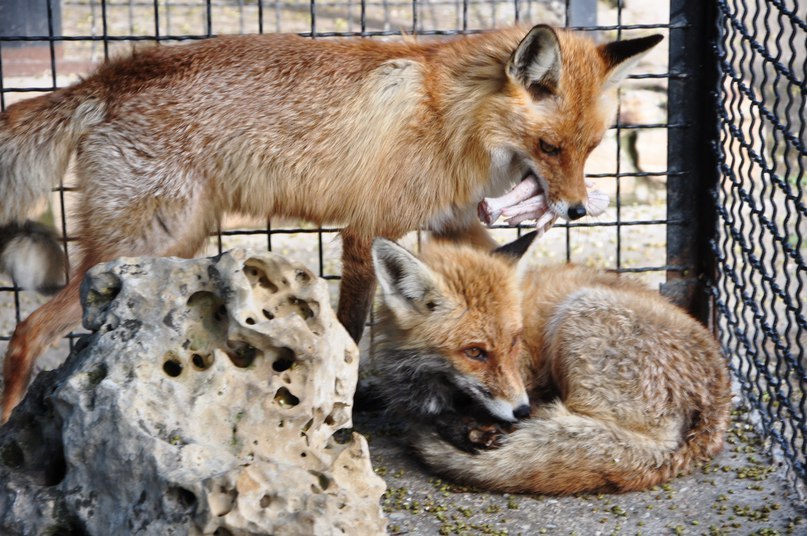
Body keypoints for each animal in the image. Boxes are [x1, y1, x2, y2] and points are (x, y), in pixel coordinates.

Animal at [0, 25, 664, 420]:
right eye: (550, 148)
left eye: (592, 147)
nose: (577, 209)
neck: (450, 117)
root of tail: (109, 75)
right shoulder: (368, 230)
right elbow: (348, 327)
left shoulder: (451, 225)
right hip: (144, 239)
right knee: (28, 329)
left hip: (173, 241)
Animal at [372, 234, 732, 494]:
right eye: (475, 352)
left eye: (514, 341)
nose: (521, 410)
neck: (436, 384)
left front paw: (477, 429)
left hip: (578, 314)